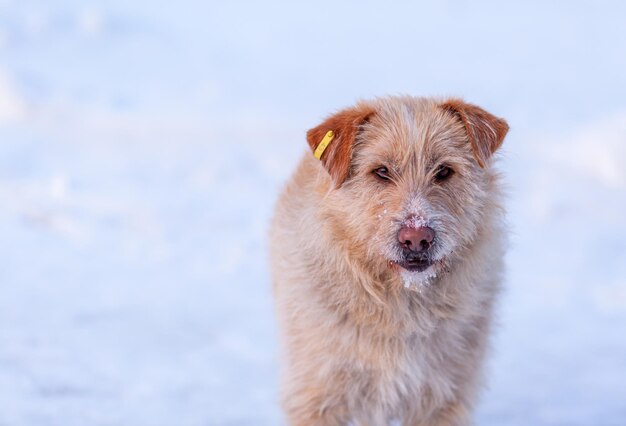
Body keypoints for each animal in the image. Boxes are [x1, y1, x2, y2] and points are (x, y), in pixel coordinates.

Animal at [268, 96, 508, 426]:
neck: (401, 301)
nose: (417, 237)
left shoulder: (443, 398)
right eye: (381, 171)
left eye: (444, 171)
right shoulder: (317, 394)